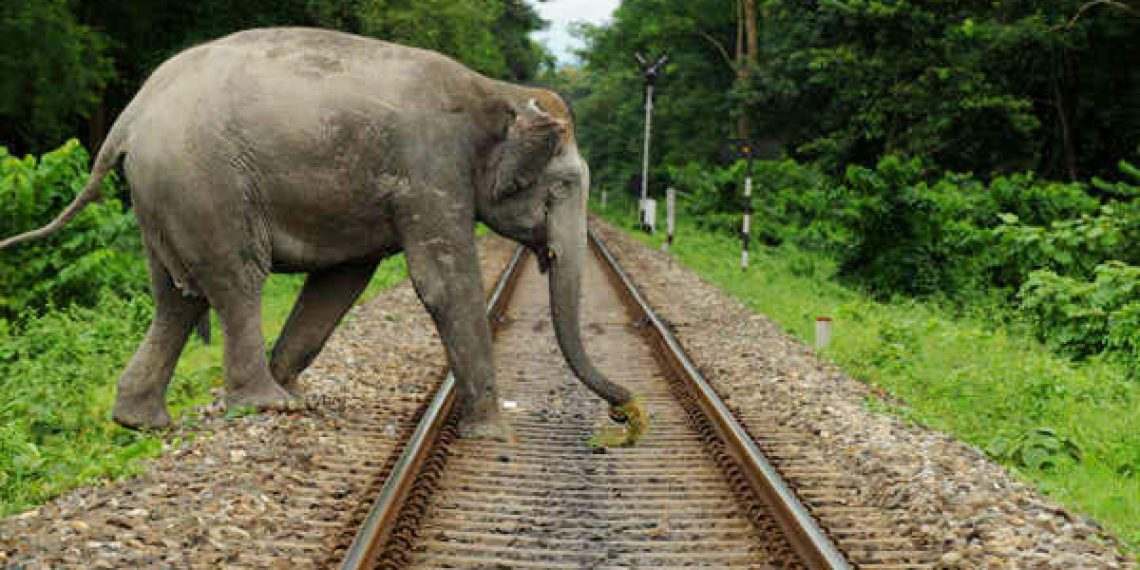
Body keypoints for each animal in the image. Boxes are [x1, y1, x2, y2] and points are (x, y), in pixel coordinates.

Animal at [0, 27, 634, 438]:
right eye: (562, 187)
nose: (625, 410)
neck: (495, 90)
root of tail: (128, 117)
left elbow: (341, 281)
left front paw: (298, 386)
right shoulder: (430, 169)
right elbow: (441, 281)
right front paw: (495, 432)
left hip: (162, 194)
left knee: (177, 299)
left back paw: (146, 421)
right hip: (204, 183)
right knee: (236, 280)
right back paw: (266, 405)